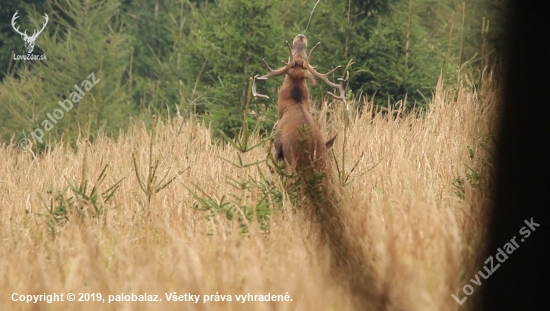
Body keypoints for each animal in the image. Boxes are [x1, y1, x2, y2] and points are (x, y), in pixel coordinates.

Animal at [253, 33, 348, 179]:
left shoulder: (277, 145)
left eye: (290, 56)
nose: (301, 37)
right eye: (301, 55)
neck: (292, 106)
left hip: (295, 161)